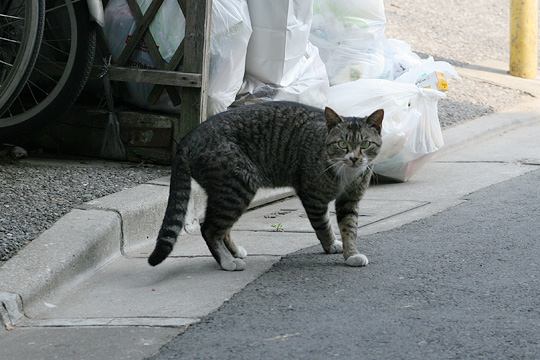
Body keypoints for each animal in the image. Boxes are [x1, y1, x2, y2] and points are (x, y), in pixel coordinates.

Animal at [149, 101, 384, 270]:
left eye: (365, 144)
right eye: (342, 144)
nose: (354, 158)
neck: (347, 173)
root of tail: (189, 136)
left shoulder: (349, 200)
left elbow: (349, 228)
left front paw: (351, 254)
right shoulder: (312, 197)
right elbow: (323, 225)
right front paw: (331, 245)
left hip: (228, 192)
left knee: (221, 227)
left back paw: (234, 252)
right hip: (237, 186)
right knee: (209, 228)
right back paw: (227, 262)